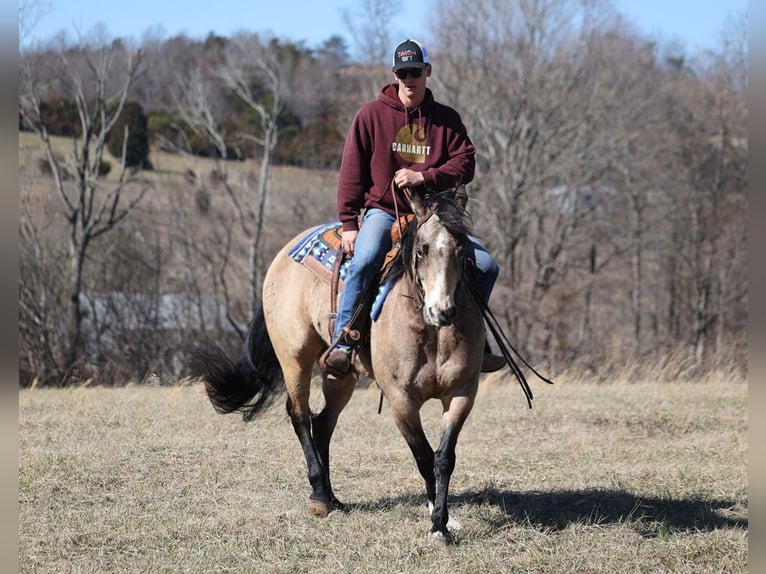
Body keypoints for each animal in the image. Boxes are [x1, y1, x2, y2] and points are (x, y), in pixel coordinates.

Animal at [195, 189, 536, 544]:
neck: (430, 332)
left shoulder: (461, 394)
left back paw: (332, 497)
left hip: (339, 374)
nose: (441, 311)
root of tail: (284, 254)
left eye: (462, 249)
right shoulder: (401, 400)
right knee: (299, 414)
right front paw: (436, 523)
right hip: (294, 356)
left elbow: (443, 458)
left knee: (324, 422)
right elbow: (424, 456)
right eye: (422, 249)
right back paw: (319, 496)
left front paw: (443, 522)